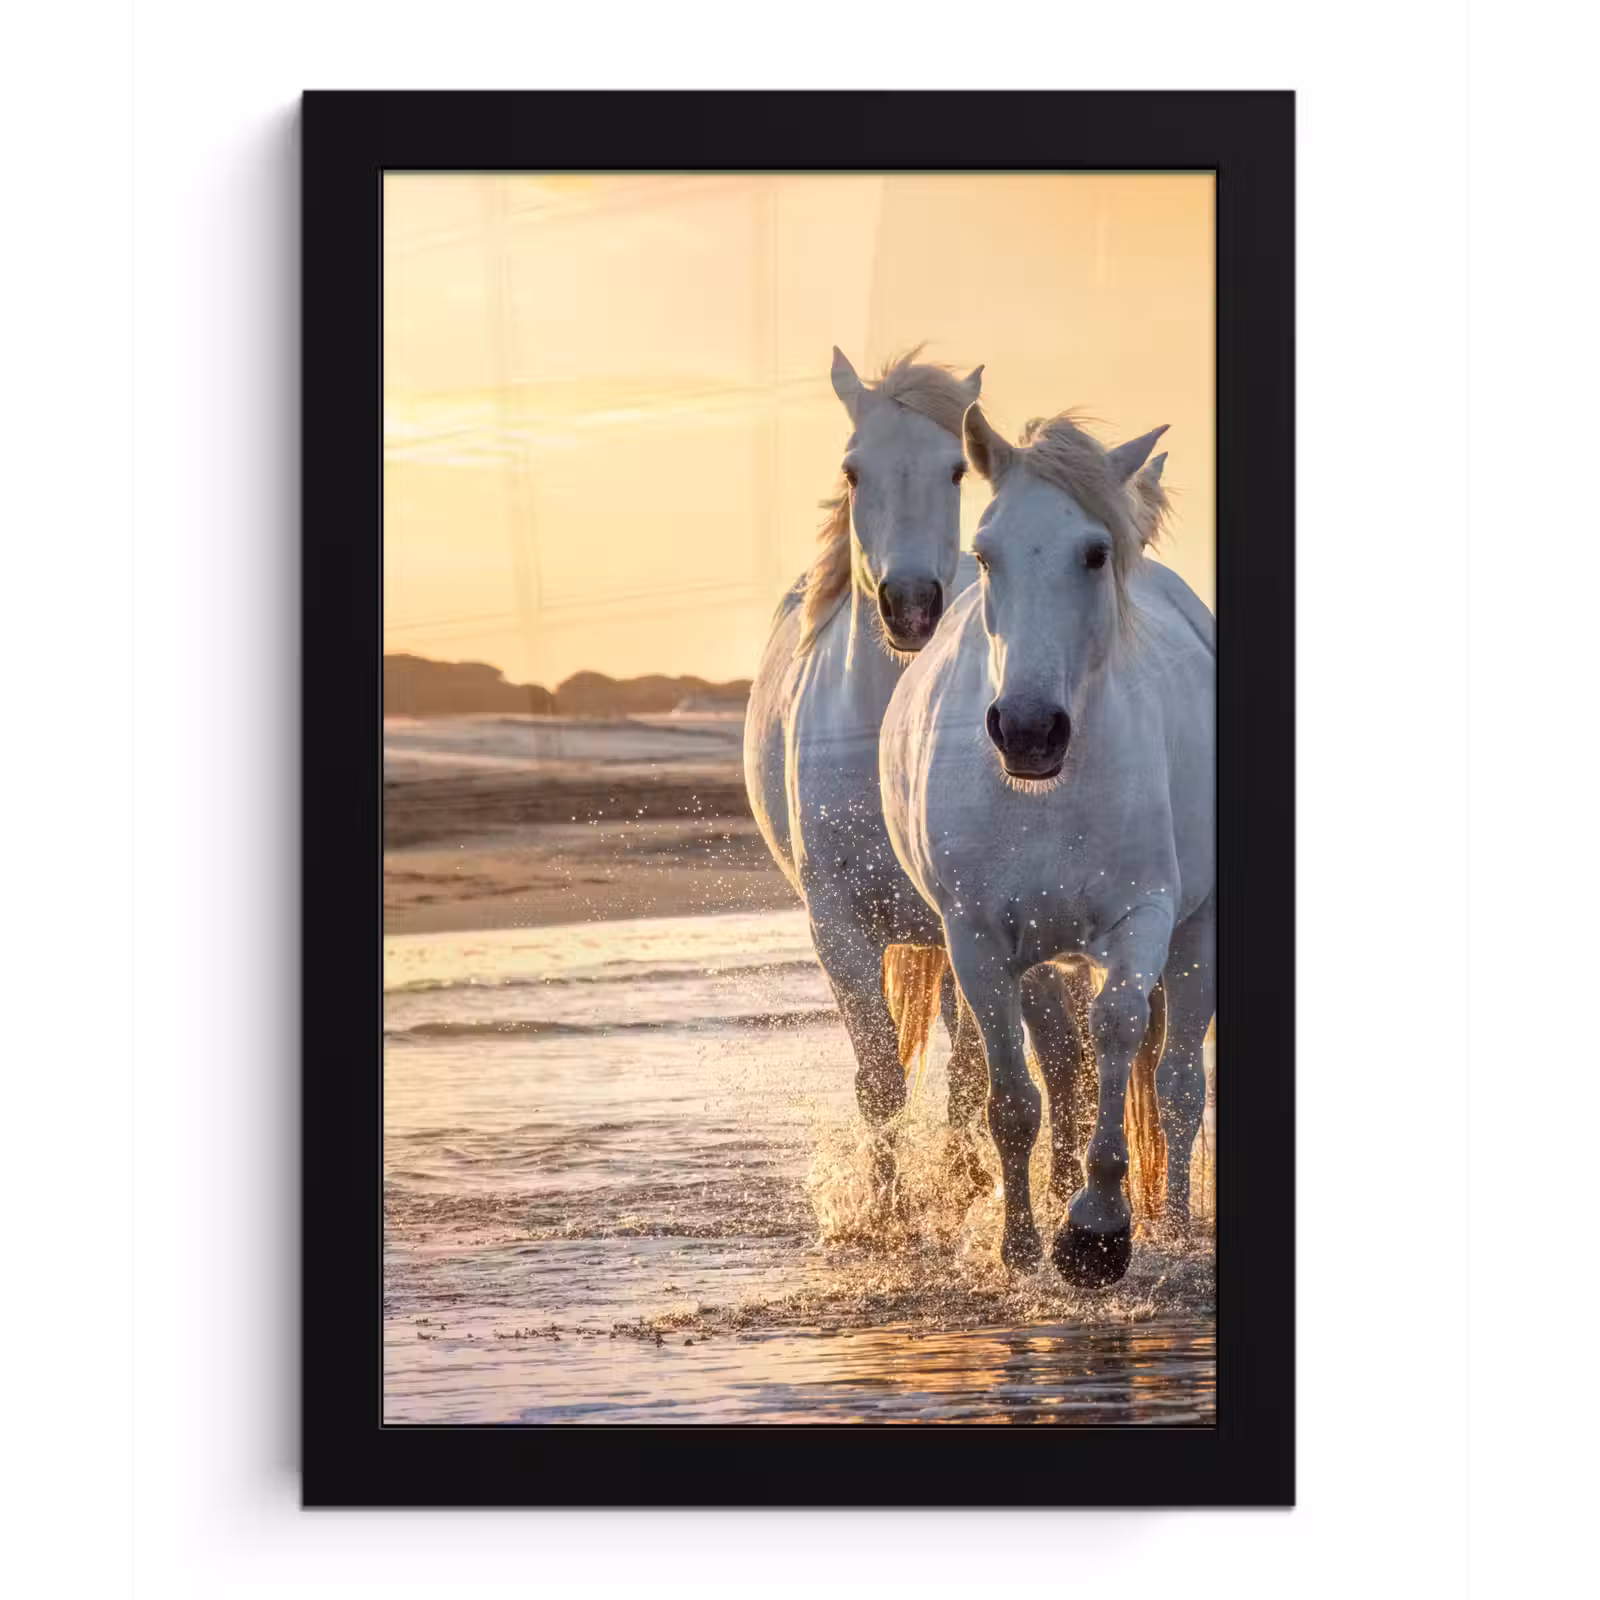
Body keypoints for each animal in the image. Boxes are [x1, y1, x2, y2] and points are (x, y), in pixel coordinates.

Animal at [743, 347, 994, 1214]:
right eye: (853, 471)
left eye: (957, 469)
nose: (913, 607)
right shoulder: (838, 931)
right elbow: (880, 1081)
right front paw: (884, 1216)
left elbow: (970, 1077)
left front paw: (965, 1191)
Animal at [880, 404, 1215, 1286]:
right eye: (984, 553)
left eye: (1094, 552)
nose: (1029, 731)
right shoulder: (977, 940)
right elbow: (1013, 1100)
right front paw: (1024, 1245)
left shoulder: (1143, 918)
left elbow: (1119, 1033)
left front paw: (1097, 1230)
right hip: (1038, 956)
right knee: (1060, 1074)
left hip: (1197, 934)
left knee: (1177, 1086)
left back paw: (1175, 1227)